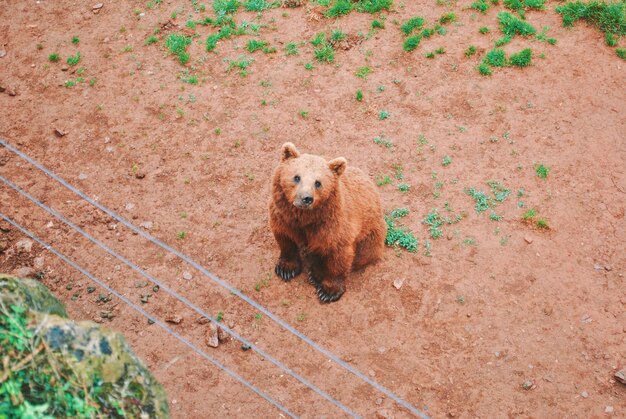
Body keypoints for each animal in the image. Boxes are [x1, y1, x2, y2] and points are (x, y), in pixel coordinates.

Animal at [268, 143, 386, 304]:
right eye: (296, 177)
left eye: (318, 183)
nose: (306, 198)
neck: (305, 217)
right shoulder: (284, 218)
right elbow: (286, 239)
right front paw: (286, 269)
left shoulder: (332, 225)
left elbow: (338, 255)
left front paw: (328, 291)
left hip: (371, 233)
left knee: (363, 254)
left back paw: (316, 274)